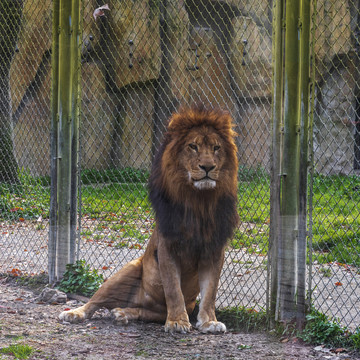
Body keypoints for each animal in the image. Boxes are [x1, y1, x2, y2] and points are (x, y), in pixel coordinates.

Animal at [59, 105, 239, 334]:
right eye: (193, 146)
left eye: (216, 148)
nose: (208, 167)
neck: (199, 202)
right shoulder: (167, 247)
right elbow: (173, 289)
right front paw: (177, 322)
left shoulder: (214, 250)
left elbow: (210, 292)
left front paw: (209, 322)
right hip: (125, 272)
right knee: (94, 301)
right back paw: (74, 313)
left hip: (154, 308)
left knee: (146, 312)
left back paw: (122, 313)